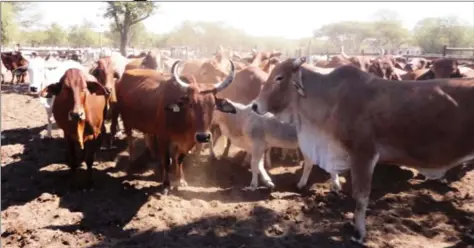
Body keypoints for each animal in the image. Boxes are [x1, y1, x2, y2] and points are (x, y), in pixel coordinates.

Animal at [111, 59, 237, 194]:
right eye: (191, 105)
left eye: (213, 106)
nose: (203, 137)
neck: (182, 120)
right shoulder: (163, 138)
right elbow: (166, 160)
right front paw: (166, 184)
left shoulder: (189, 142)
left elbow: (179, 158)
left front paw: (180, 179)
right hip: (126, 119)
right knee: (130, 139)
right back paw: (132, 159)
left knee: (148, 136)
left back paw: (153, 156)